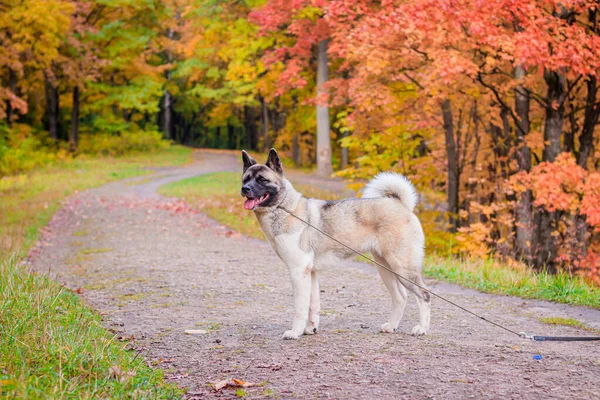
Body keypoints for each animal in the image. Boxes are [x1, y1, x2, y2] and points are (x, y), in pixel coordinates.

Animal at [240, 148, 432, 340]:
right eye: (245, 179)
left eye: (262, 180)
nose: (244, 189)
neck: (285, 208)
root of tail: (401, 204)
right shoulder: (311, 273)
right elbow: (313, 305)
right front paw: (310, 329)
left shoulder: (299, 270)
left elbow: (300, 307)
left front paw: (295, 332)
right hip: (386, 268)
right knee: (400, 297)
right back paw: (391, 326)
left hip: (403, 269)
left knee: (424, 295)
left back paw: (422, 328)